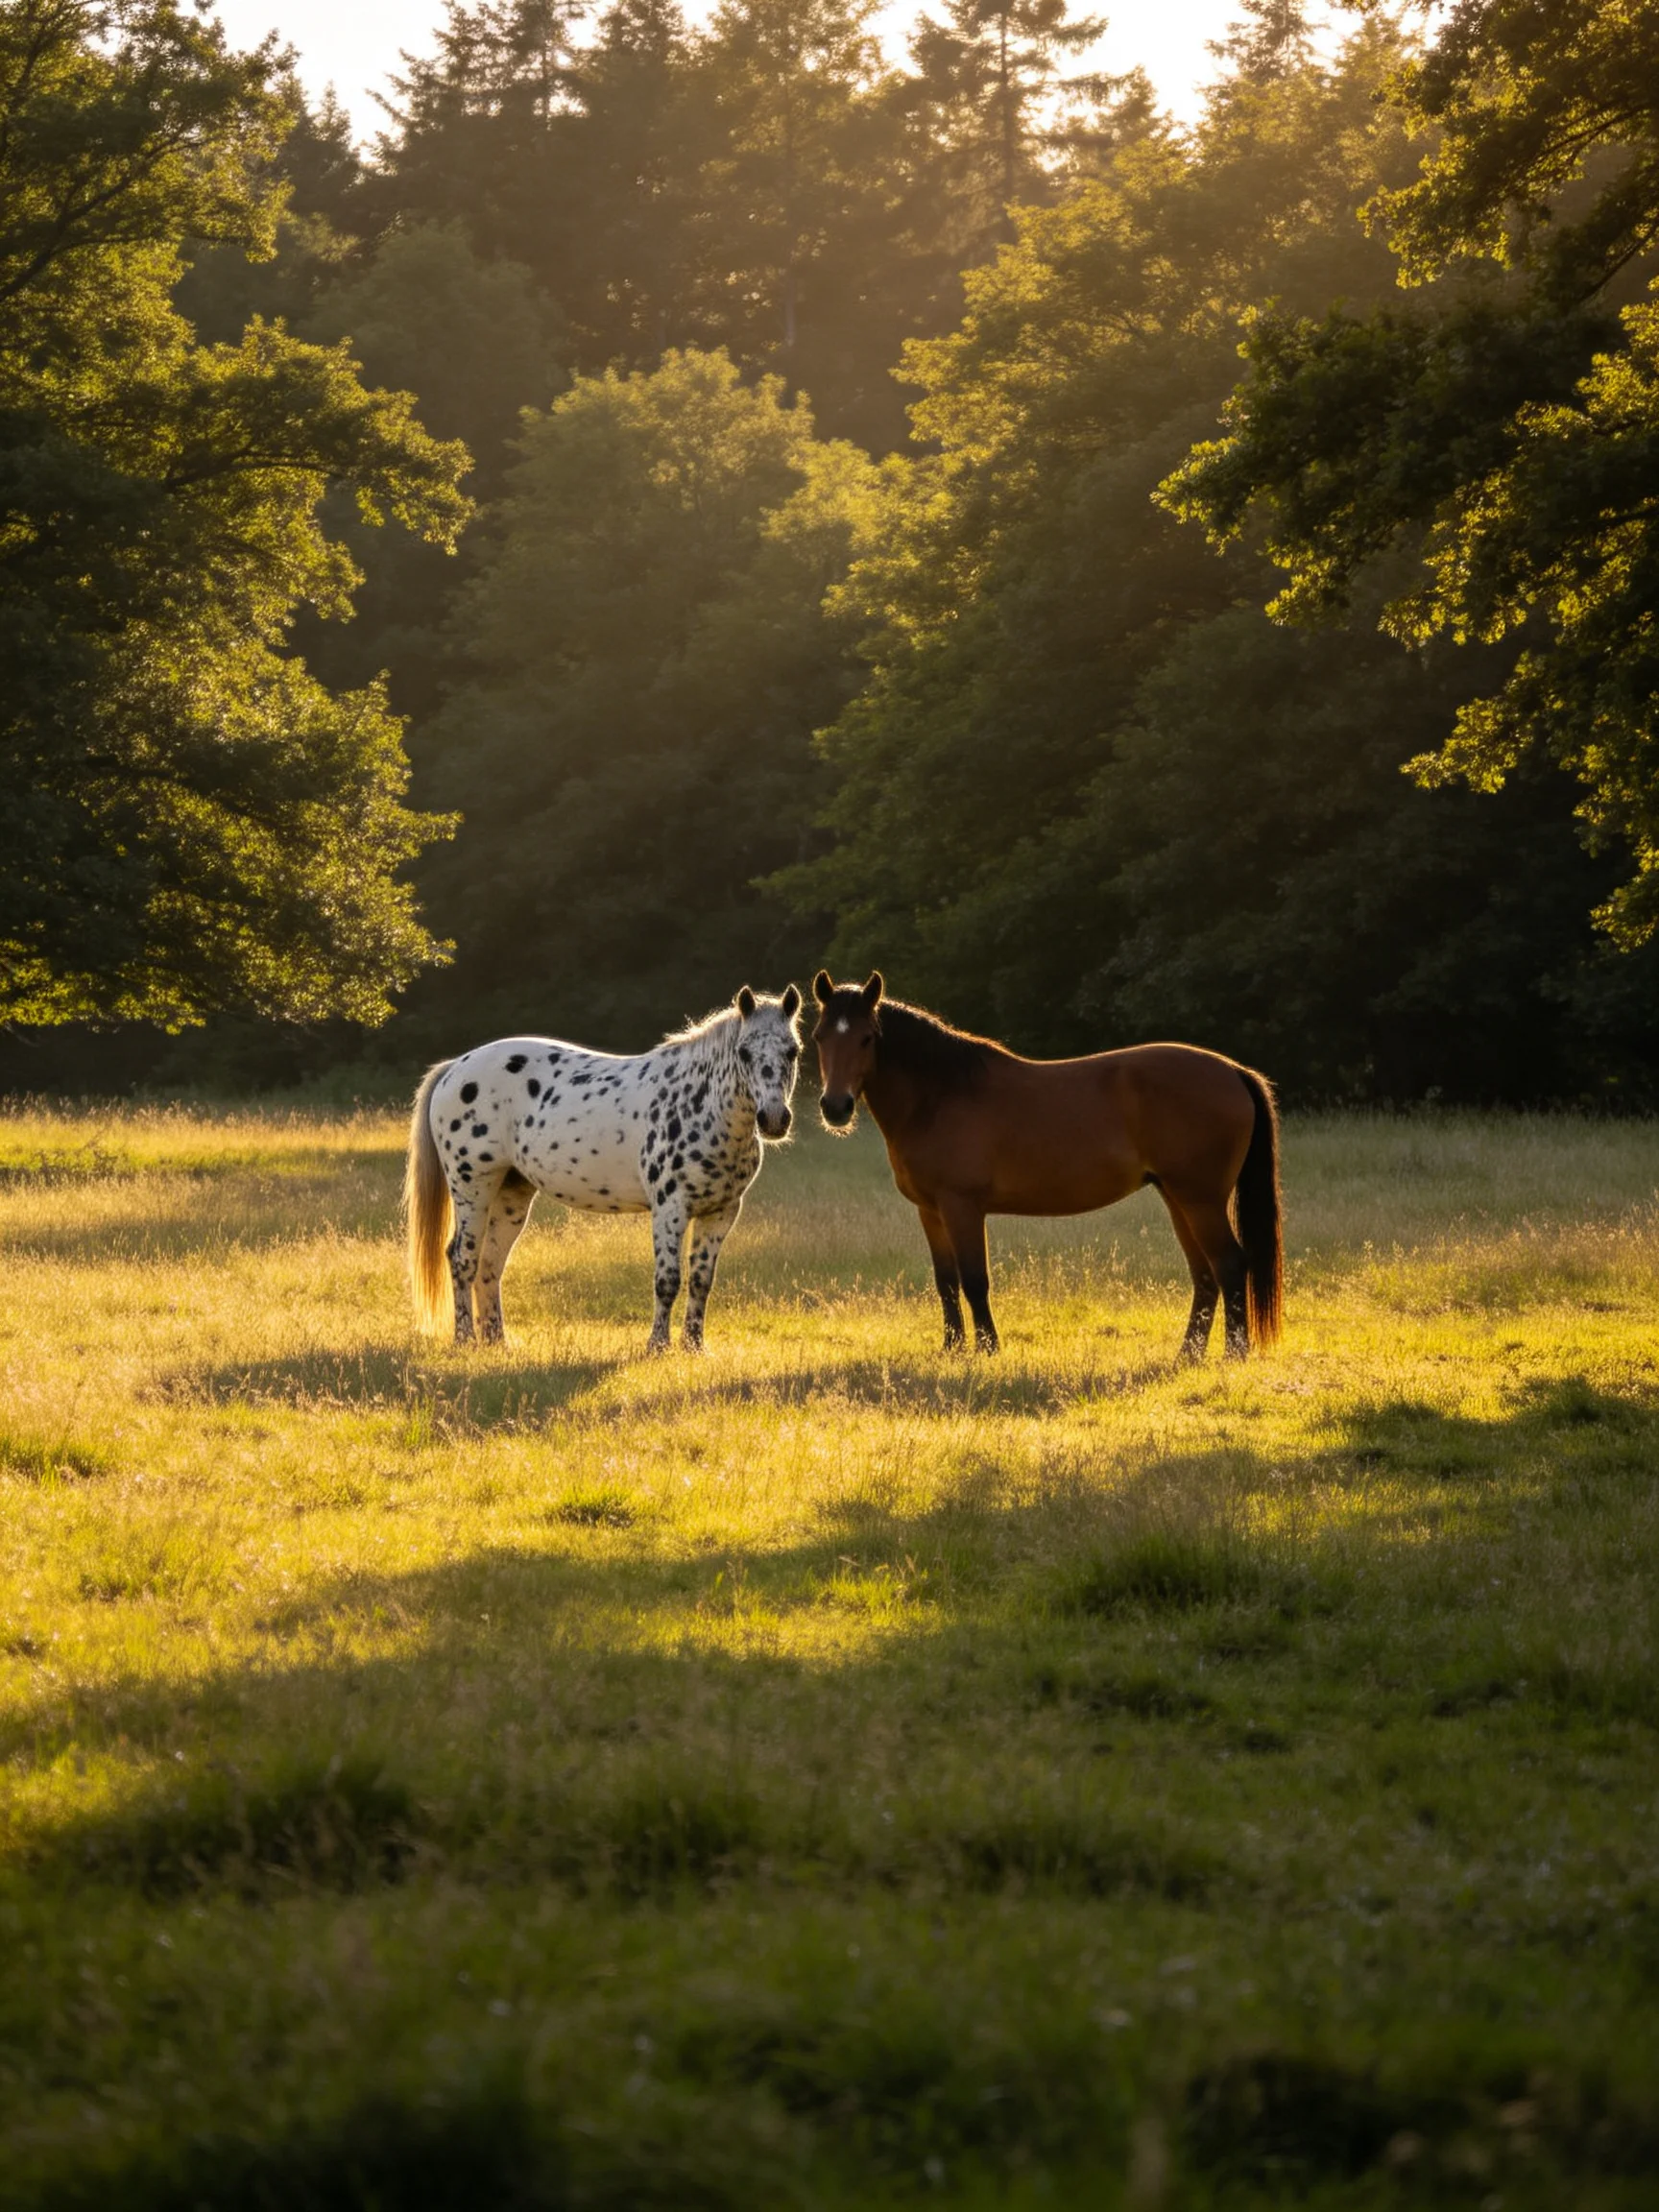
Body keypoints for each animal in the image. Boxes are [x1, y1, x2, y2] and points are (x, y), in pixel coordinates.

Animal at [406, 985, 803, 1354]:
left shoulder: (720, 1212)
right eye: (744, 1051)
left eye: (793, 1050)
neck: (700, 1106)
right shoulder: (670, 1209)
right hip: (472, 1187)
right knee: (462, 1258)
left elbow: (702, 1280)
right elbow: (668, 1280)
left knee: (490, 1264)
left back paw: (497, 1342)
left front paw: (694, 1346)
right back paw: (464, 1339)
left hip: (511, 1194)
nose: (773, 1119)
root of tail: (456, 1067)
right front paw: (657, 1345)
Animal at [810, 971, 1281, 1361]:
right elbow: (946, 1282)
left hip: (1200, 1200)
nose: (835, 1107)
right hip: (1177, 1197)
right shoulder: (931, 1211)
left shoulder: (962, 1207)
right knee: (1204, 1274)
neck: (940, 1096)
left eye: (867, 1037)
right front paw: (952, 1347)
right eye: (818, 1037)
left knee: (1230, 1265)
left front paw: (988, 1349)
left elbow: (974, 1280)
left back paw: (1233, 1354)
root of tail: (1233, 1071)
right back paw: (1188, 1354)